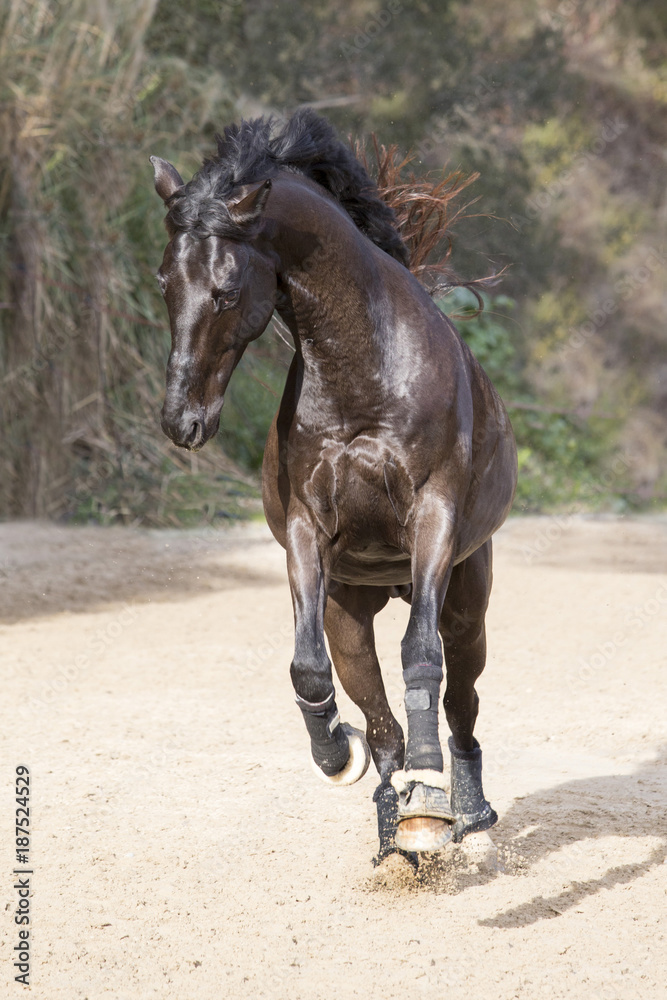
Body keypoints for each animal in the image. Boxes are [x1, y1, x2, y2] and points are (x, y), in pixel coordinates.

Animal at [150, 110, 517, 863]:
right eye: (165, 282)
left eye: (224, 290)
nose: (182, 421)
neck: (365, 374)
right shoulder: (306, 533)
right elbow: (310, 672)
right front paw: (337, 756)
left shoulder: (433, 518)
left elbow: (421, 657)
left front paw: (432, 796)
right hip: (352, 612)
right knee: (380, 722)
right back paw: (396, 830)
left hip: (468, 601)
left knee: (460, 700)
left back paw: (463, 811)